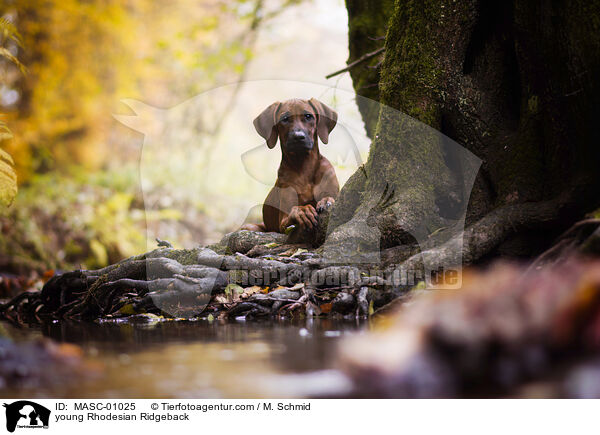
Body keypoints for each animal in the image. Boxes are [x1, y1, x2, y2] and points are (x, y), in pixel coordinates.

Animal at [243, 98, 338, 235]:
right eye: (285, 119)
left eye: (308, 116)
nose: (298, 137)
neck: (305, 167)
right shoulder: (283, 222)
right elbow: (295, 209)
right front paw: (304, 211)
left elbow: (329, 197)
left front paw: (326, 201)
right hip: (250, 227)